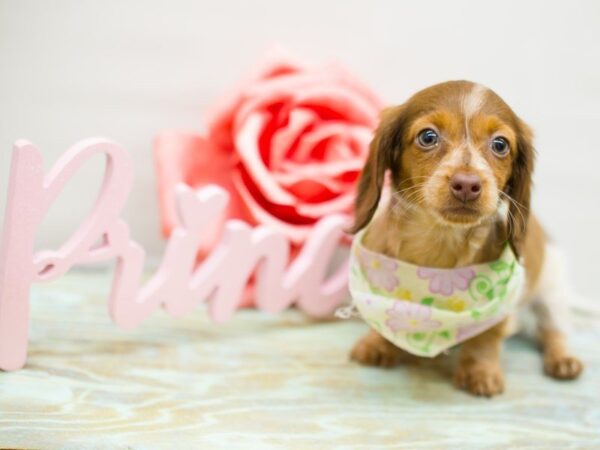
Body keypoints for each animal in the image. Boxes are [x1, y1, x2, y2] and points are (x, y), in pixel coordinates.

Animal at [350, 81, 584, 398]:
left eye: (500, 144)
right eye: (428, 137)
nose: (467, 184)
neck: (439, 242)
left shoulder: (499, 307)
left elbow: (485, 338)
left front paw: (480, 371)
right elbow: (383, 322)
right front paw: (377, 345)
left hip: (552, 293)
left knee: (553, 332)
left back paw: (563, 359)